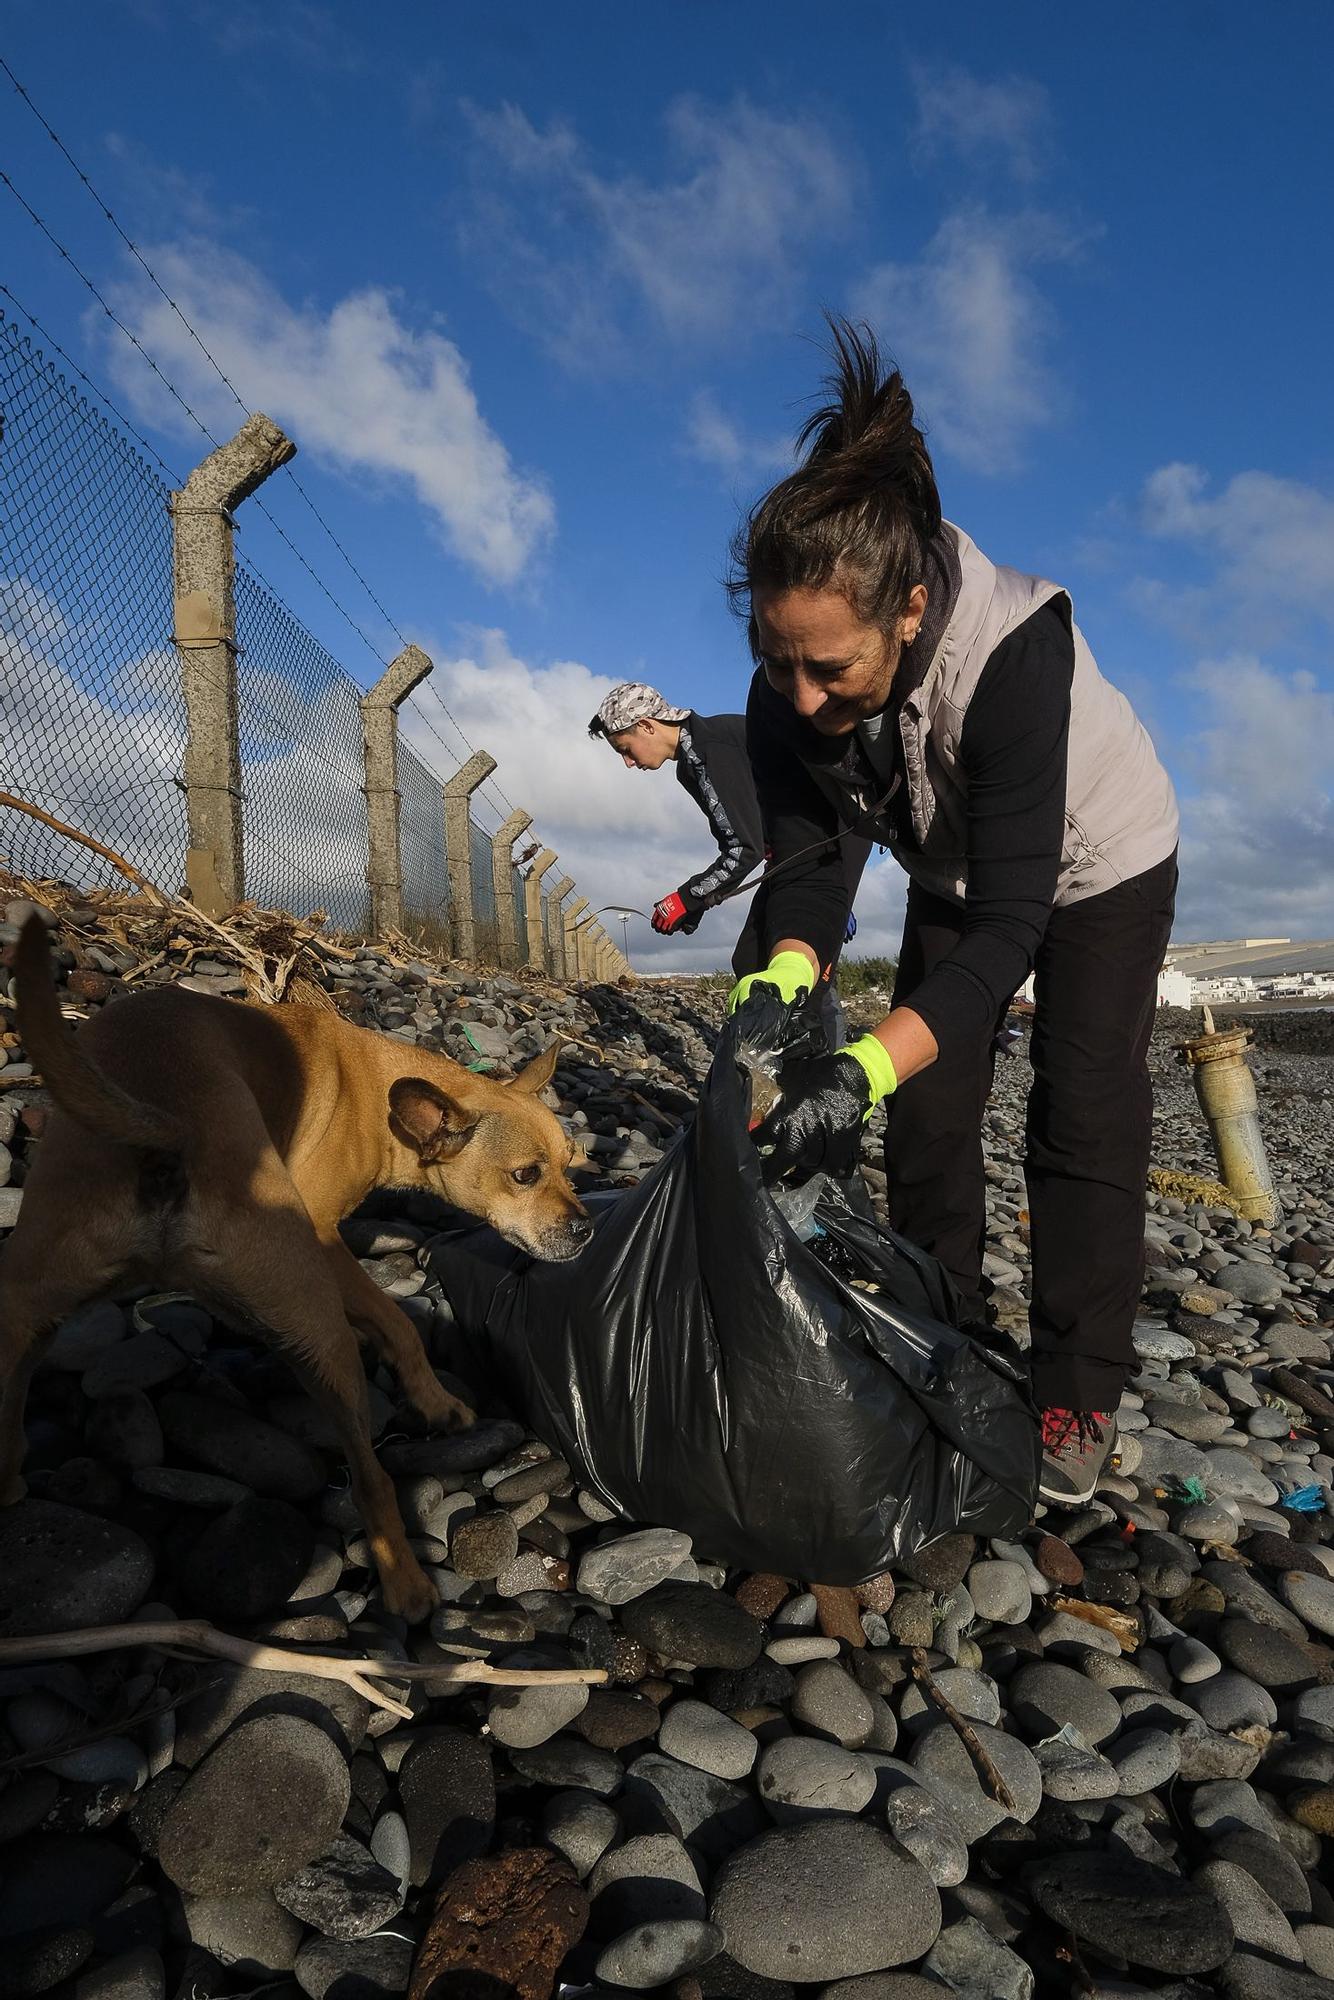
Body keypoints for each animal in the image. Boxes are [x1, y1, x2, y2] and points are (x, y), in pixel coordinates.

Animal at [0, 916, 588, 1616]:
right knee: (368, 1476)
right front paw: (434, 1400)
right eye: (525, 1176)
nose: (586, 1229)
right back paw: (406, 1583)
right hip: (317, 1324)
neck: (378, 1093)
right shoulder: (324, 1237)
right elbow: (399, 1324)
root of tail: (164, 1124)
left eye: (574, 1166)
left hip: (29, 1308)